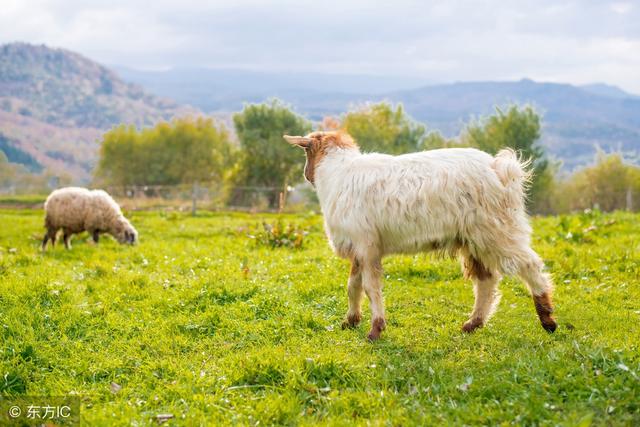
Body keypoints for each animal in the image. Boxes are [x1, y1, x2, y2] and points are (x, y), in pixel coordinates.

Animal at [284, 130, 556, 342]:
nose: (305, 175)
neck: (337, 174)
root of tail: (500, 168)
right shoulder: (359, 248)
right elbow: (353, 285)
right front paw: (350, 321)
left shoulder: (366, 245)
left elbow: (370, 287)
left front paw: (375, 330)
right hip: (474, 238)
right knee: (486, 281)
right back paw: (472, 324)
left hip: (498, 230)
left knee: (529, 265)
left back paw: (548, 320)